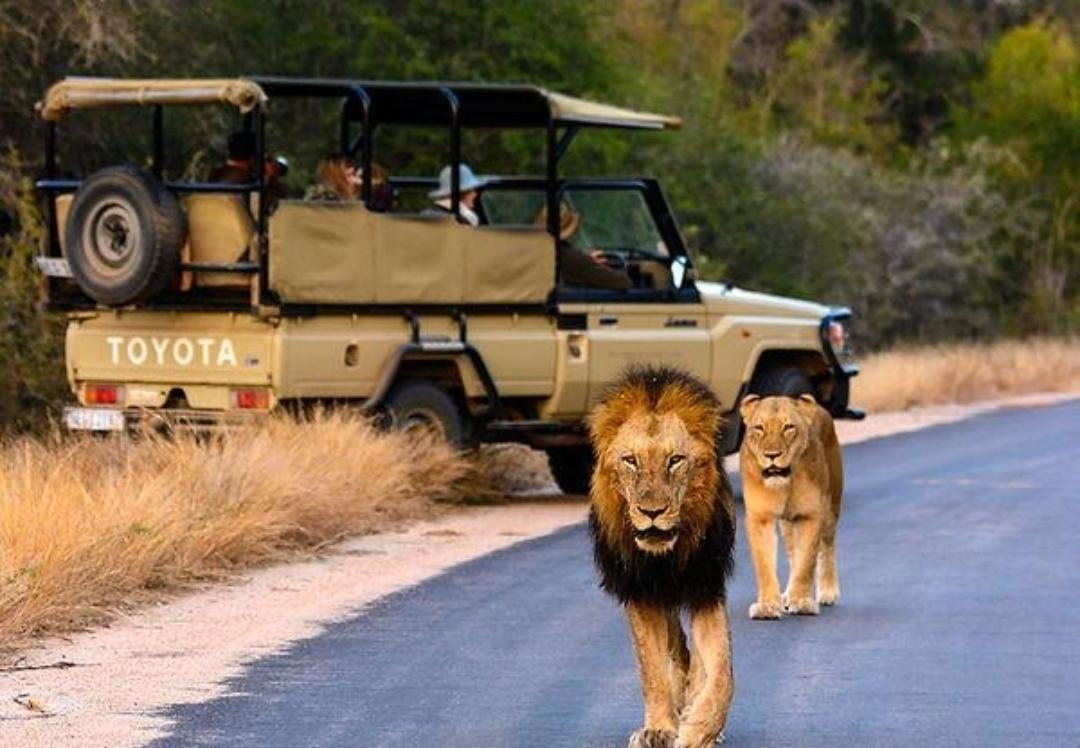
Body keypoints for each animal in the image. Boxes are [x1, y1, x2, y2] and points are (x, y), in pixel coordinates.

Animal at [589, 366, 736, 748]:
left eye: (675, 461)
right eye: (630, 461)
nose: (651, 512)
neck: (665, 557)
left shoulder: (705, 585)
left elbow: (721, 671)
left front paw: (699, 729)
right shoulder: (640, 591)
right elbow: (652, 668)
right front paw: (659, 729)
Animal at [738, 393, 843, 620]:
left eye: (788, 427)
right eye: (759, 428)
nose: (772, 455)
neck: (784, 484)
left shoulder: (811, 514)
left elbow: (806, 562)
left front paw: (801, 602)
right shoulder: (760, 517)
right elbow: (764, 565)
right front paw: (768, 606)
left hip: (831, 508)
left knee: (827, 548)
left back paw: (827, 592)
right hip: (787, 523)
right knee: (793, 553)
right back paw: (787, 594)